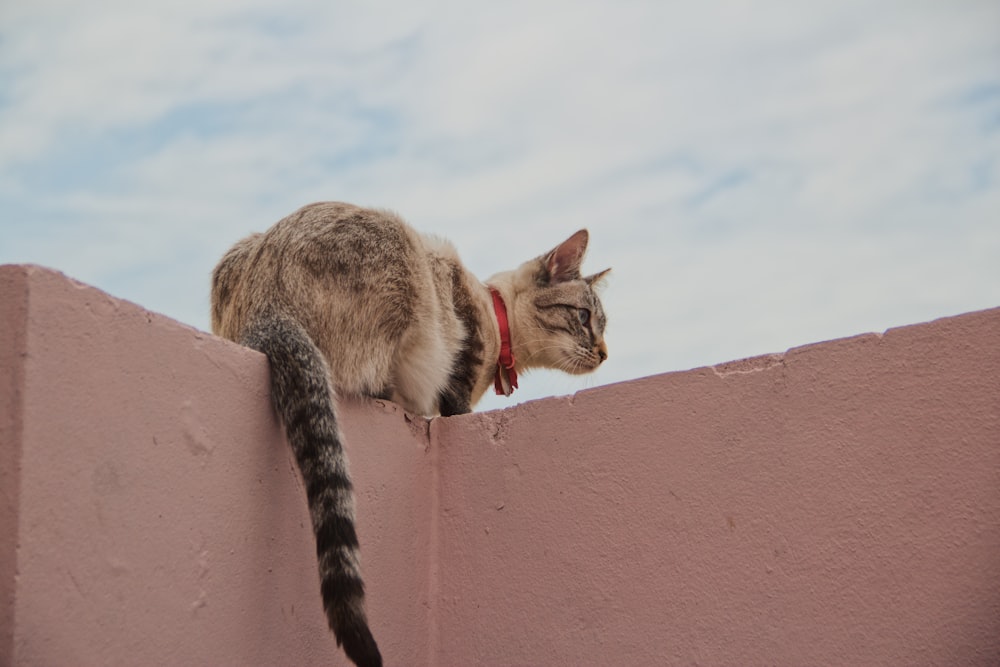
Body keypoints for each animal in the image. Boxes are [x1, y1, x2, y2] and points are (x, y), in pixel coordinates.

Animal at [211, 204, 608, 667]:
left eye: (602, 325)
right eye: (583, 318)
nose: (604, 354)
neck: (498, 320)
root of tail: (265, 308)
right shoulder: (456, 376)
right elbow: (456, 402)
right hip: (403, 259)